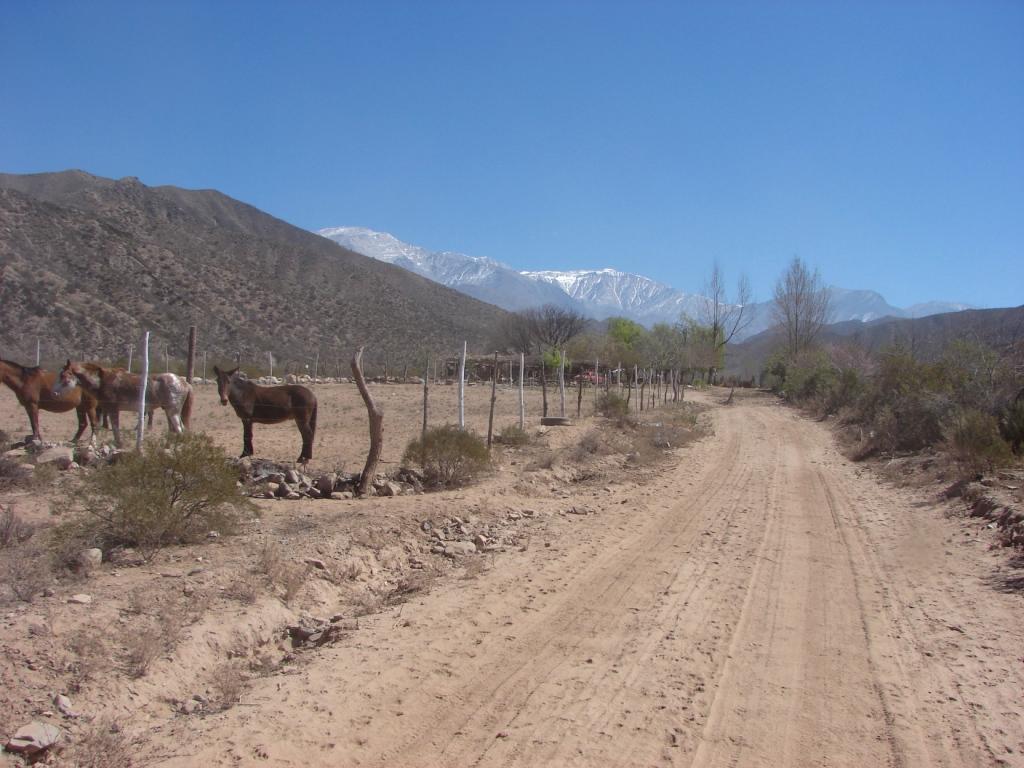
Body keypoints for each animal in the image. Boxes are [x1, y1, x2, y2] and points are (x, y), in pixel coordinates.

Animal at [54, 362, 193, 448]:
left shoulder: (113, 410)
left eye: (63, 375)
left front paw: (118, 445)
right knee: (175, 430)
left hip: (172, 412)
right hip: (168, 412)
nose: (54, 392)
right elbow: (102, 426)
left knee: (179, 431)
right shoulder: (105, 410)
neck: (102, 381)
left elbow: (115, 429)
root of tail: (184, 382)